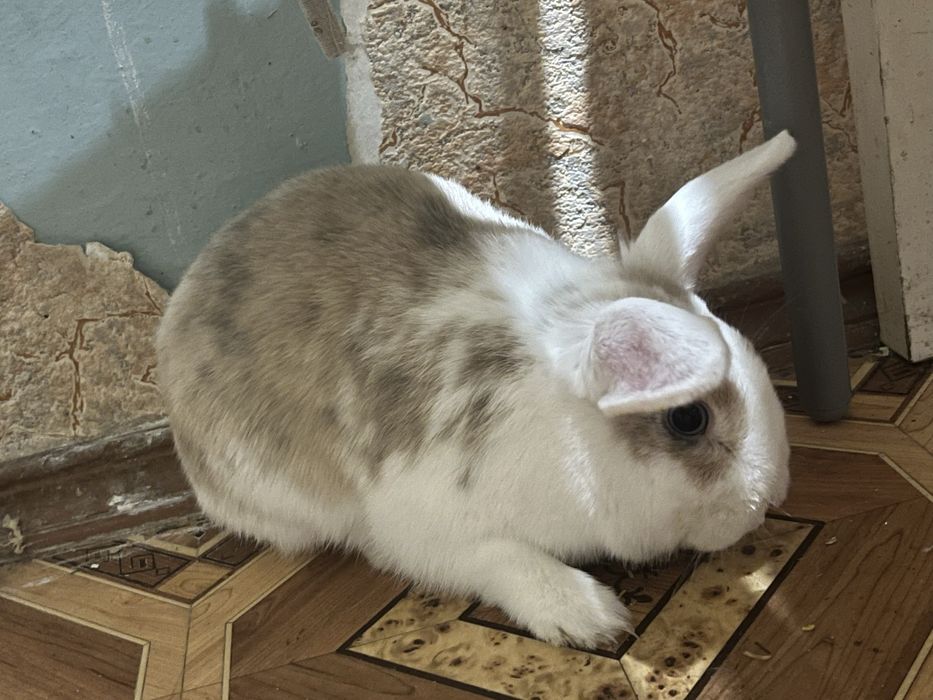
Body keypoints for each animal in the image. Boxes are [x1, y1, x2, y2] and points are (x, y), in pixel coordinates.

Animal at [156, 131, 795, 648]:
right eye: (688, 419)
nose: (773, 499)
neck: (569, 439)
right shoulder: (427, 531)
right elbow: (501, 557)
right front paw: (587, 616)